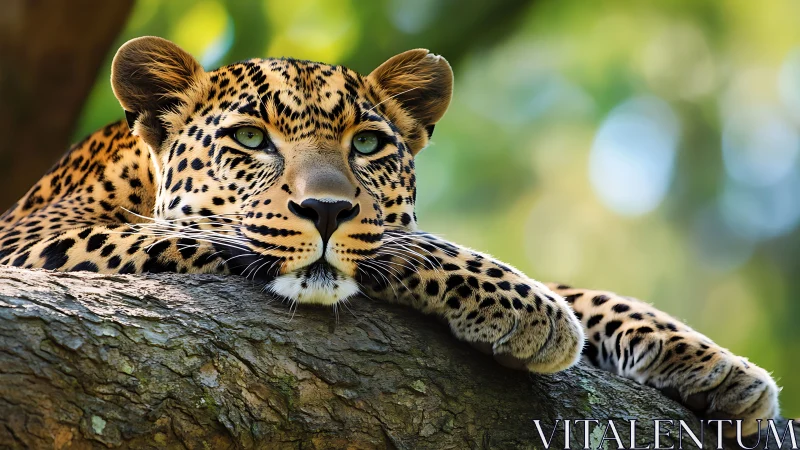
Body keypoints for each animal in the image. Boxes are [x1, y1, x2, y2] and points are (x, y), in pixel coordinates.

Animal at [0, 36, 779, 438]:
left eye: (369, 144)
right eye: (250, 139)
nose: (326, 209)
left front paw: (710, 364)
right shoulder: (35, 239)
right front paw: (527, 308)